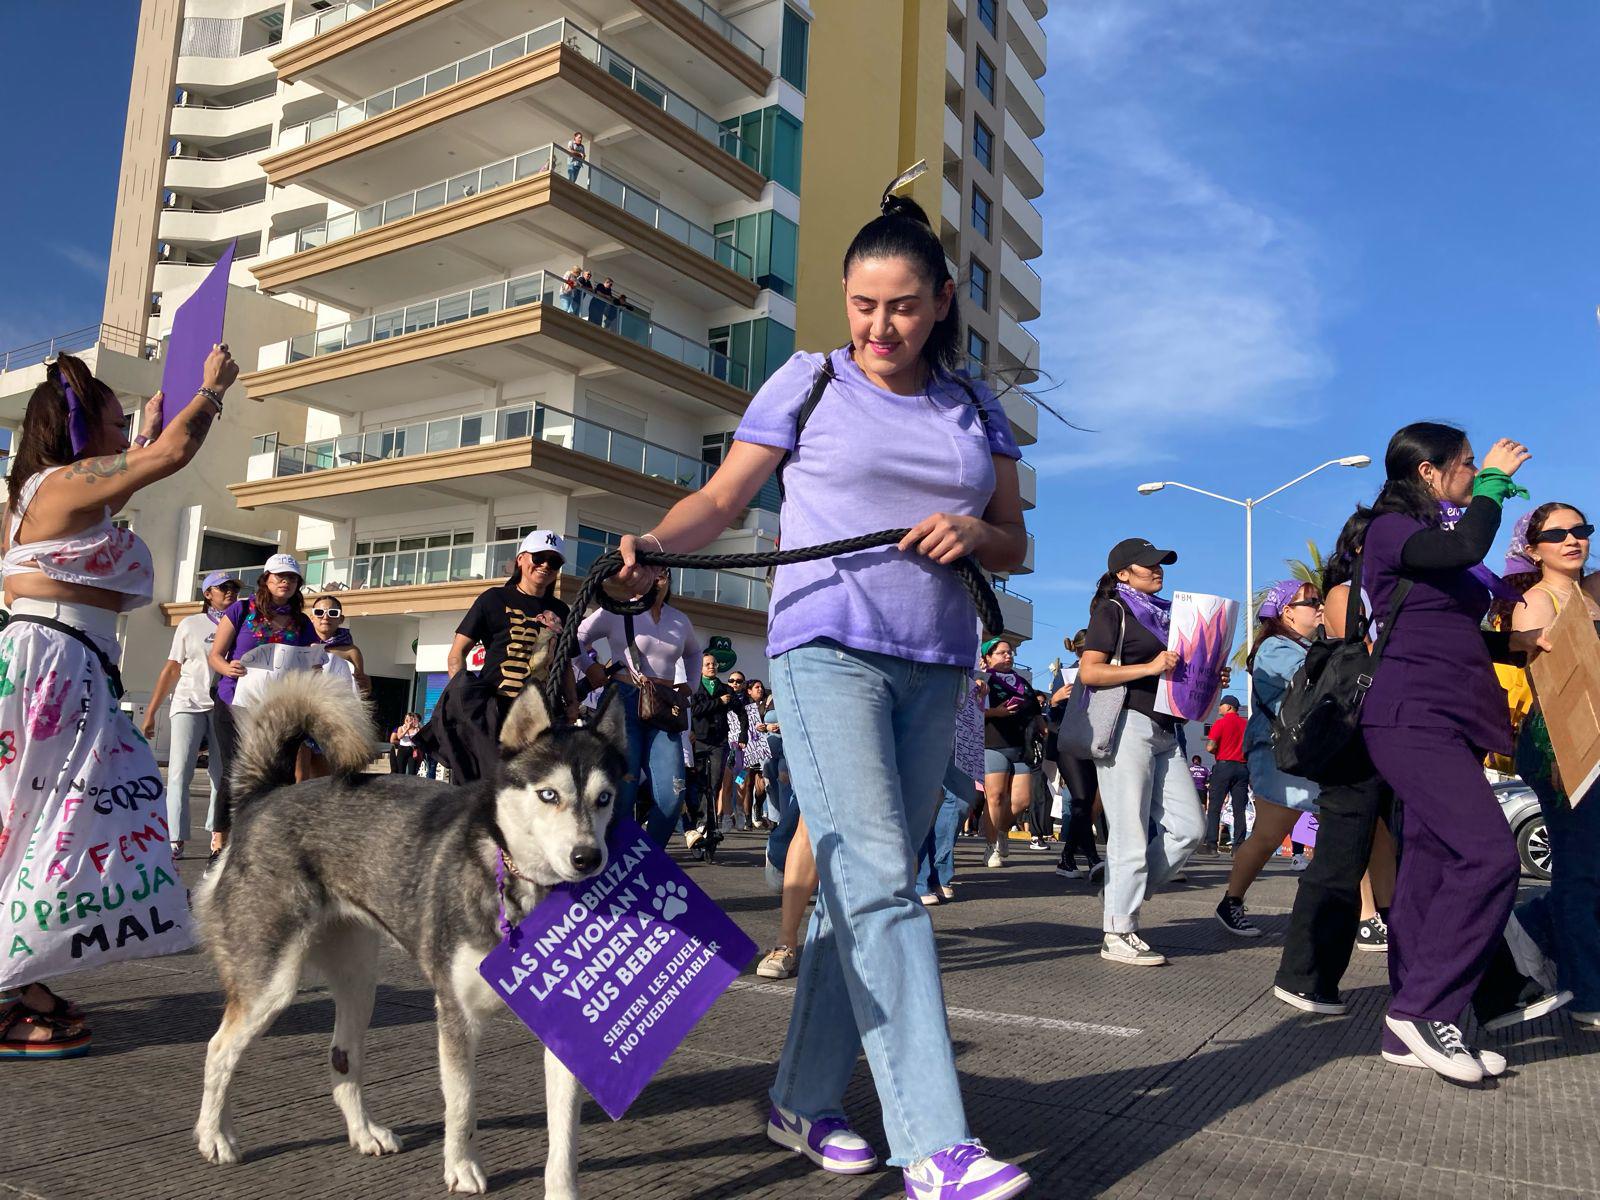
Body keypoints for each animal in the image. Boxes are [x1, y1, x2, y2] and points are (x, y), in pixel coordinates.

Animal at [192, 672, 624, 1196]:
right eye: (548, 795)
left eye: (604, 799)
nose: (588, 857)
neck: (523, 891)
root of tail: (264, 797)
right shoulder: (456, 1015)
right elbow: (462, 1104)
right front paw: (461, 1166)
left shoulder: (563, 1032)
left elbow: (564, 1132)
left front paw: (561, 1188)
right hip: (268, 985)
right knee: (218, 1051)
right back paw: (214, 1137)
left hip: (360, 982)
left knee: (342, 1058)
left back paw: (363, 1133)